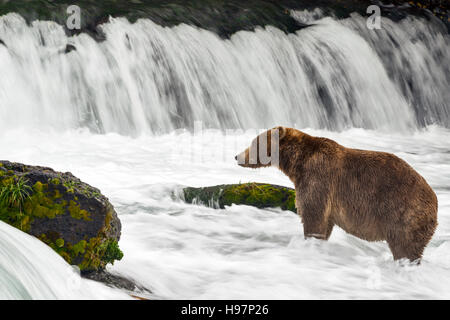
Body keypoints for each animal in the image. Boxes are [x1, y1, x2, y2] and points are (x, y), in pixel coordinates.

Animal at [234, 126, 438, 262]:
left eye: (254, 143)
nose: (237, 156)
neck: (297, 163)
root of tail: (434, 200)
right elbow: (324, 224)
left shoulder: (318, 179)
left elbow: (313, 216)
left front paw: (309, 242)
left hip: (403, 212)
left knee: (404, 246)